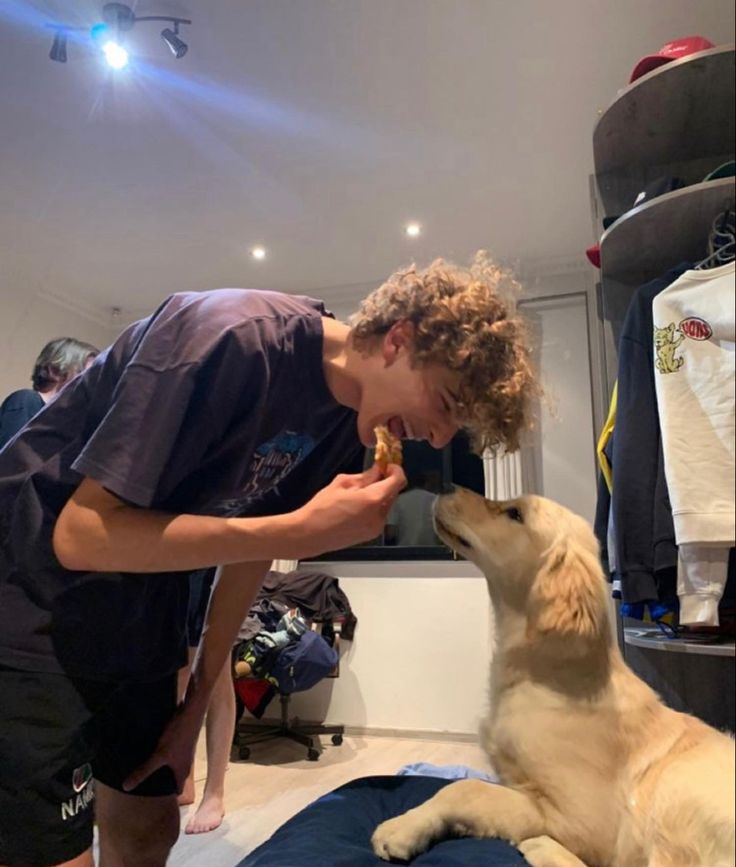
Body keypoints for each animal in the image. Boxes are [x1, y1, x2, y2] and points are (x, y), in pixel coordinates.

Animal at [374, 488, 736, 867]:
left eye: (515, 514)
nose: (446, 487)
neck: (544, 675)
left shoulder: (587, 821)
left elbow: (465, 787)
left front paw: (401, 829)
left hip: (677, 794)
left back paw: (542, 847)